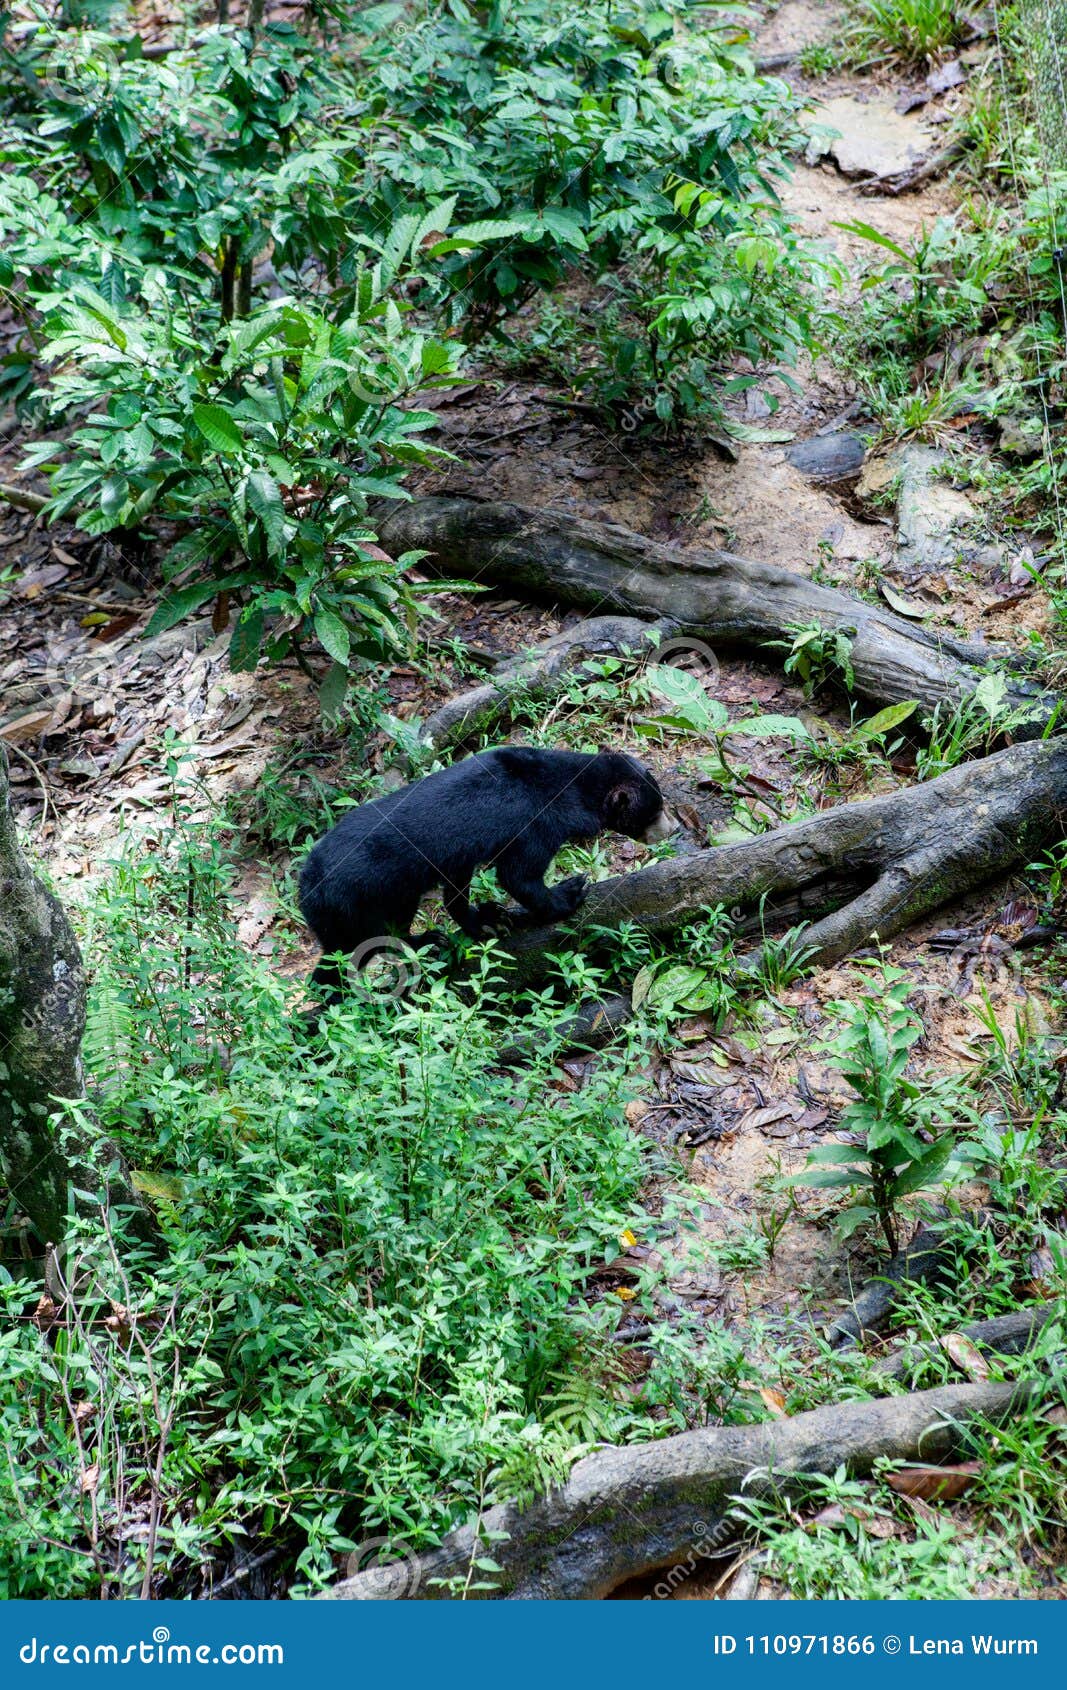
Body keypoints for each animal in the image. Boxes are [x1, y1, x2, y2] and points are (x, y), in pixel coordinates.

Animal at [299, 746, 669, 993]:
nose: (673, 828)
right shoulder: (537, 824)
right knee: (364, 945)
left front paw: (489, 919)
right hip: (361, 904)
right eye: (653, 813)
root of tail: (306, 891)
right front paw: (571, 891)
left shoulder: (459, 858)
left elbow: (457, 892)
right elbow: (520, 876)